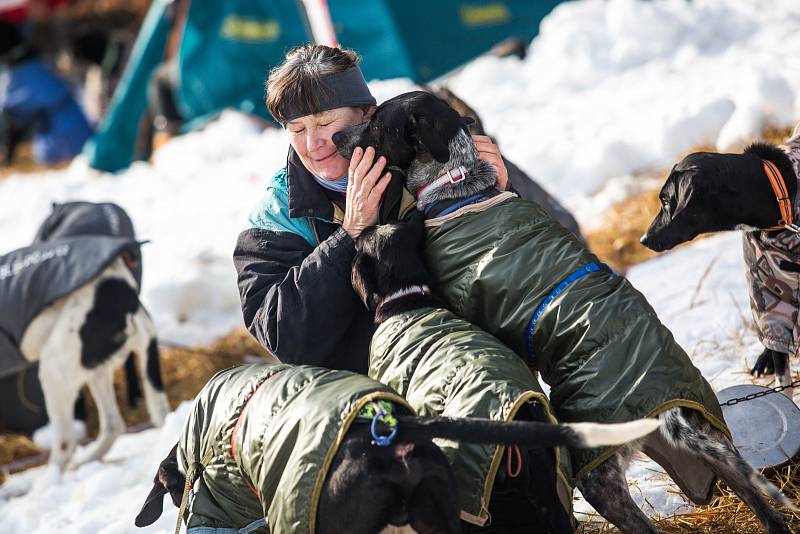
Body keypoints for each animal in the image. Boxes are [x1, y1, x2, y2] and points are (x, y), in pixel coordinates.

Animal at [0, 203, 169, 472]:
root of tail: (124, 296)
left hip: (57, 371)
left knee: (66, 443)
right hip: (96, 369)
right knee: (114, 425)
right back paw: (88, 460)